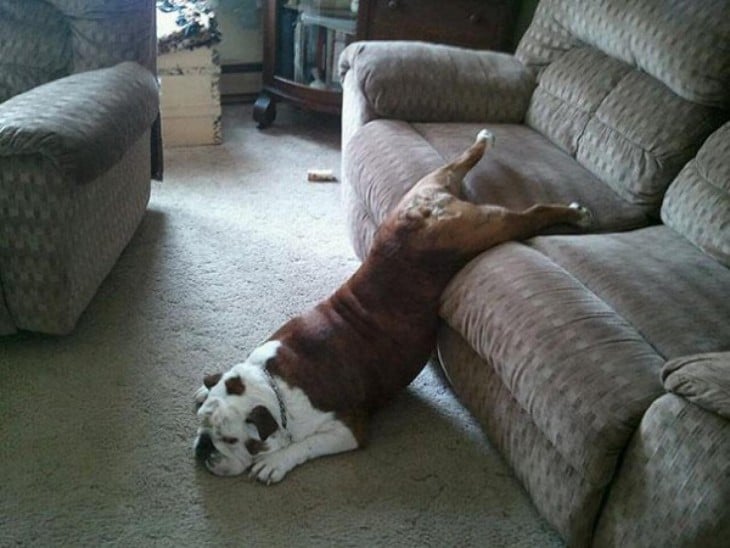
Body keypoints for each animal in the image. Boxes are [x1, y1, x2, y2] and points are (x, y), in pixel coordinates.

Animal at [193, 130, 592, 484]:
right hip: (428, 191)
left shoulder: (348, 429)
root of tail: (424, 213)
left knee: (532, 214)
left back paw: (574, 212)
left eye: (231, 440)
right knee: (458, 164)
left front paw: (276, 461)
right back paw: (484, 140)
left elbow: (305, 445)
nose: (202, 448)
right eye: (203, 426)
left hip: (480, 231)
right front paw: (202, 390)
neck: (272, 382)